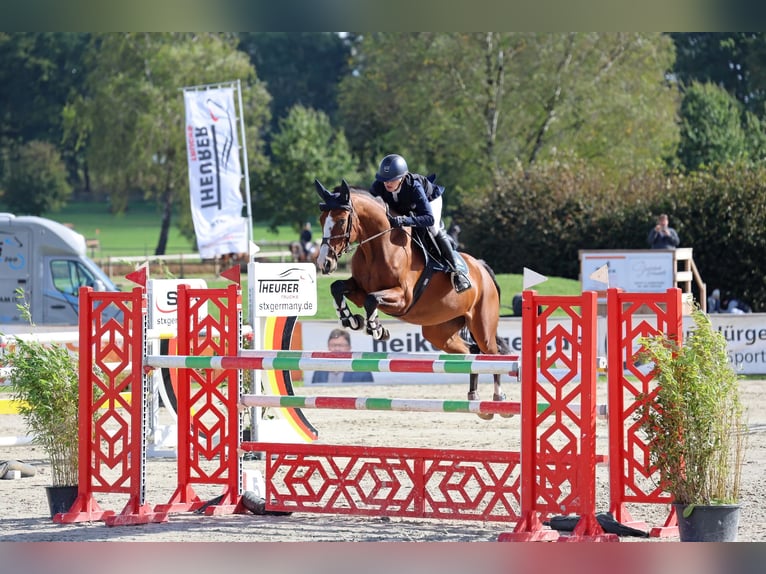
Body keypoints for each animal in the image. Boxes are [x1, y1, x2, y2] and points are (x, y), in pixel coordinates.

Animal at [316, 178, 512, 412]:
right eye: (321, 219)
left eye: (341, 220)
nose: (324, 263)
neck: (377, 247)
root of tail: (482, 268)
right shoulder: (359, 289)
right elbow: (338, 287)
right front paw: (351, 319)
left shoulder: (403, 298)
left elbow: (373, 299)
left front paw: (376, 329)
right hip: (439, 332)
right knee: (470, 352)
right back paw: (473, 395)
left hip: (482, 325)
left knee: (492, 353)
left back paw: (498, 397)